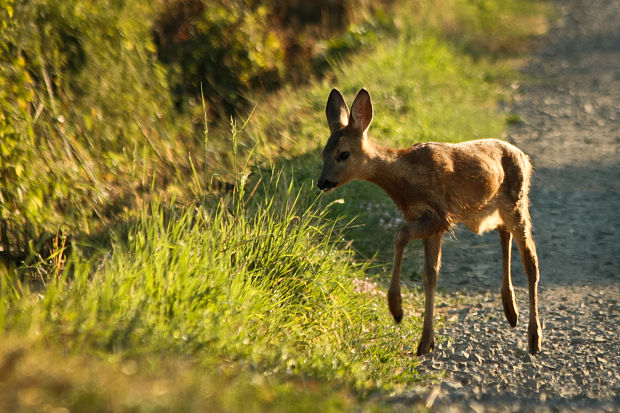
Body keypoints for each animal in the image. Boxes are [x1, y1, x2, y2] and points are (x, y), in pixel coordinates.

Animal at [320, 87, 544, 354]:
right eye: (323, 153)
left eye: (343, 154)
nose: (322, 183)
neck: (405, 177)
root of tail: (526, 158)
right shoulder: (429, 221)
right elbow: (430, 275)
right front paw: (425, 341)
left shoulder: (440, 215)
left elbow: (400, 235)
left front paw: (396, 309)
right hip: (495, 209)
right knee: (504, 236)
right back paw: (511, 311)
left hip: (517, 202)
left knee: (530, 259)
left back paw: (534, 337)